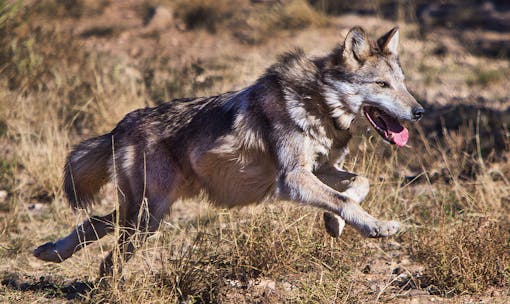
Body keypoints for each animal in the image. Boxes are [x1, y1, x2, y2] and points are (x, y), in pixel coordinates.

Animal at [33, 26, 424, 274]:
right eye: (382, 84)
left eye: (403, 84)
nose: (419, 112)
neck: (318, 103)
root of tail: (122, 125)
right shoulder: (293, 179)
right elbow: (344, 199)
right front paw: (376, 227)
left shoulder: (320, 170)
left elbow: (358, 185)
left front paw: (334, 223)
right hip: (146, 217)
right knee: (109, 257)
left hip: (146, 214)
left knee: (96, 223)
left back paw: (51, 251)